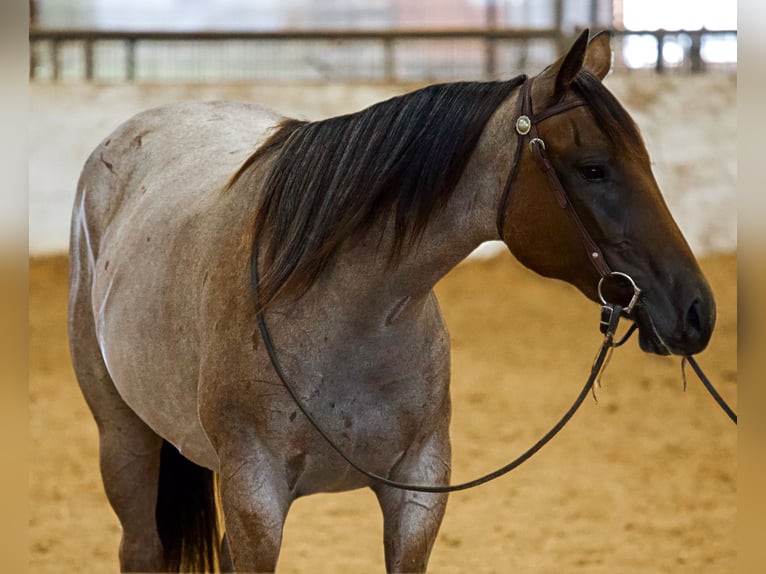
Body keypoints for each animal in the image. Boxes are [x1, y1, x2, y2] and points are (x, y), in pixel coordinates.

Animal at [68, 29, 715, 572]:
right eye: (594, 169)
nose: (697, 310)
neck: (345, 313)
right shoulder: (255, 495)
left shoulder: (417, 490)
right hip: (122, 437)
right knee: (139, 547)